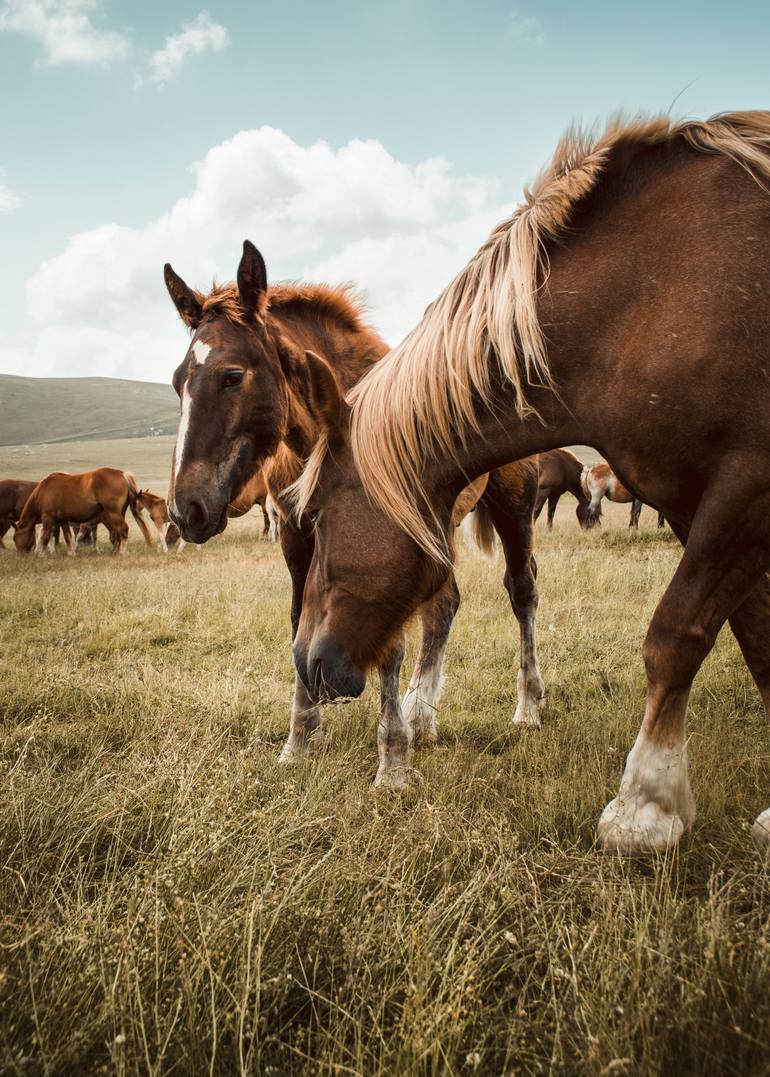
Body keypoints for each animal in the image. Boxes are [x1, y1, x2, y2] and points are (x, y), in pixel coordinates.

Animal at [15, 467, 154, 555]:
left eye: (15, 538)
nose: (20, 555)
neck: (43, 490)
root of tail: (123, 474)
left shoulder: (48, 518)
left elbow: (45, 536)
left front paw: (41, 554)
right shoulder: (62, 520)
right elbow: (68, 537)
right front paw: (71, 553)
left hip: (114, 513)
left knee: (123, 530)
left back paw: (122, 552)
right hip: (119, 513)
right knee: (118, 532)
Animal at [288, 109, 770, 848]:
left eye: (314, 514)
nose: (304, 661)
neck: (655, 295)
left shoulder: (746, 482)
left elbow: (676, 632)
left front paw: (645, 807)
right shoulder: (699, 502)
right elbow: (755, 633)